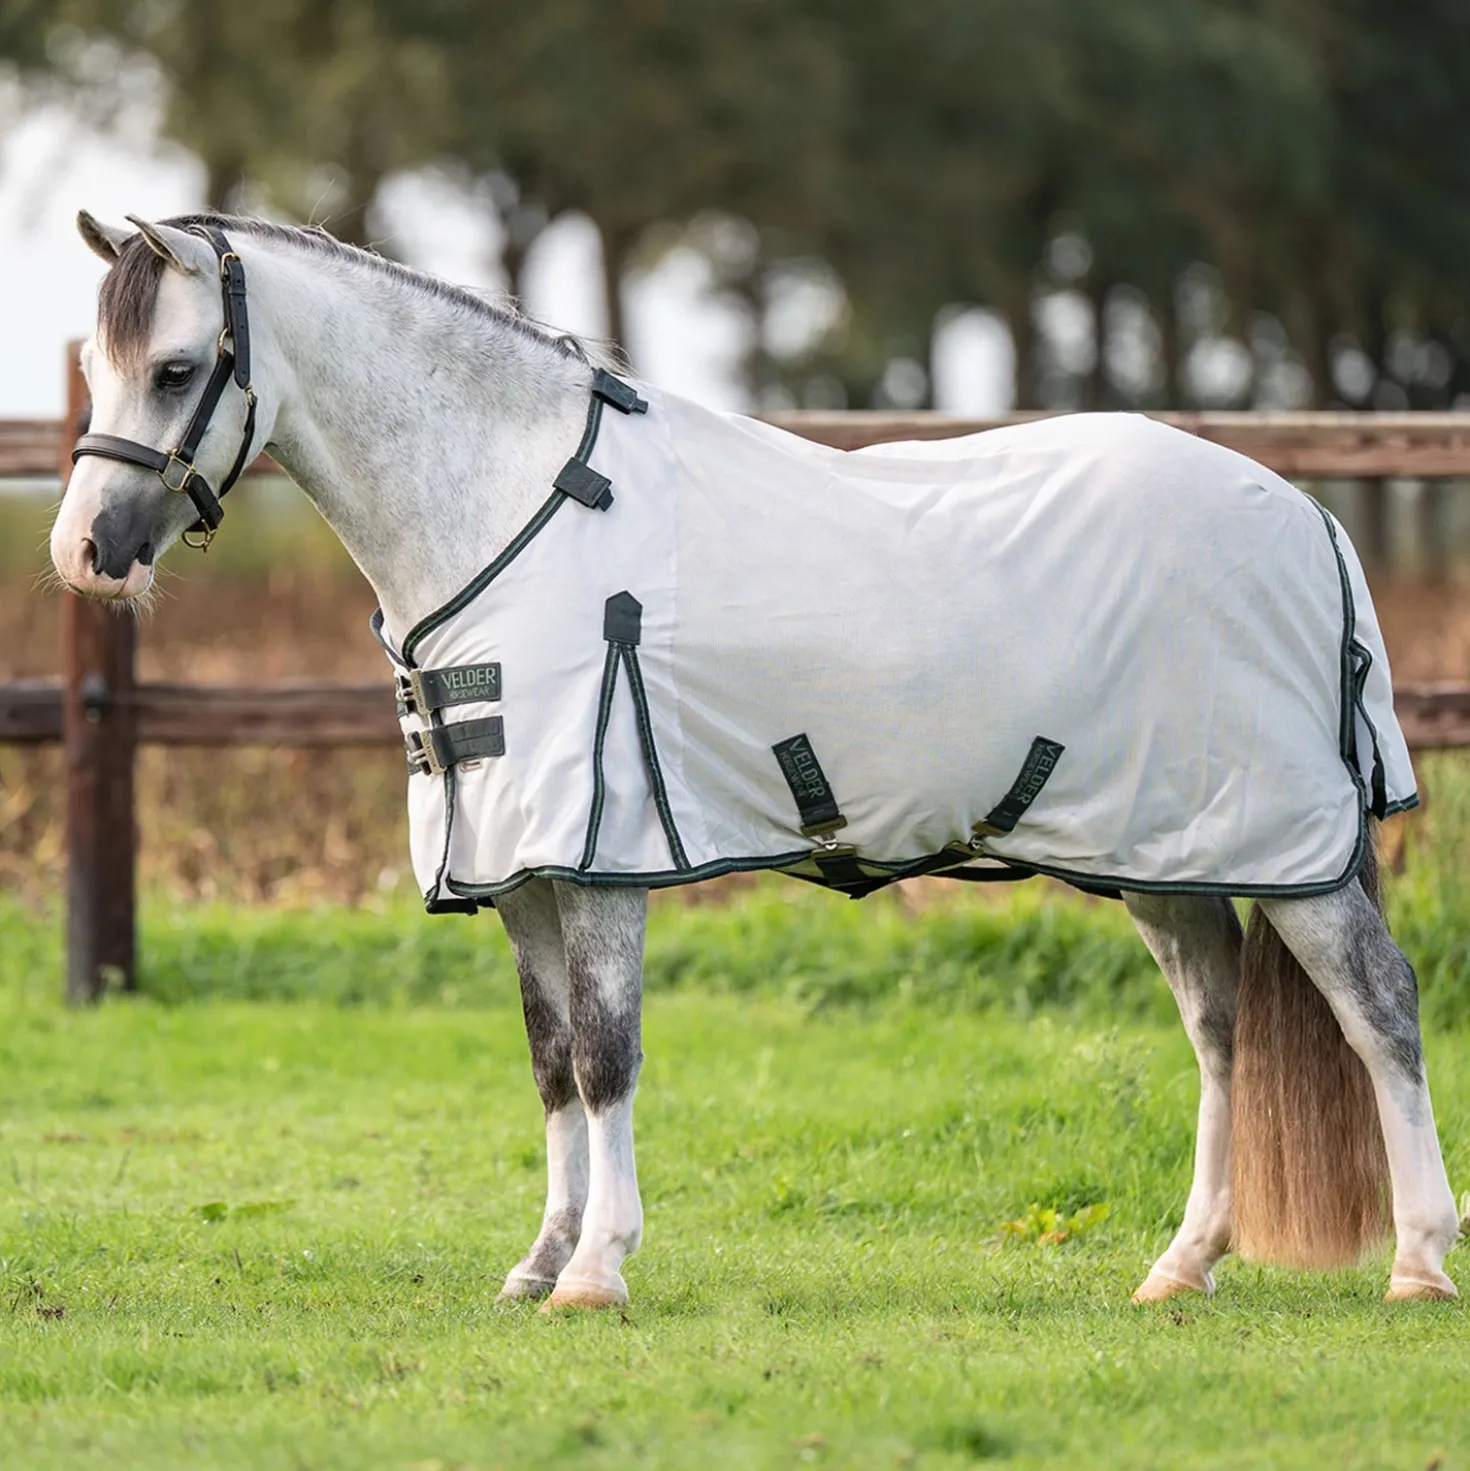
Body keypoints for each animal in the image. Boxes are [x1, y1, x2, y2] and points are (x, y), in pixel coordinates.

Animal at [51, 211, 1460, 1310]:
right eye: (102, 372)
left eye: (175, 367)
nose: (83, 554)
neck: (512, 505)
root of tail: (1307, 513)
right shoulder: (522, 871)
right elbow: (552, 1066)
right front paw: (539, 1260)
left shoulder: (598, 861)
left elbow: (606, 1057)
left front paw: (597, 1271)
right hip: (1170, 857)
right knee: (1221, 1032)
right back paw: (1182, 1266)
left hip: (1290, 852)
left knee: (1380, 1013)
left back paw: (1419, 1263)